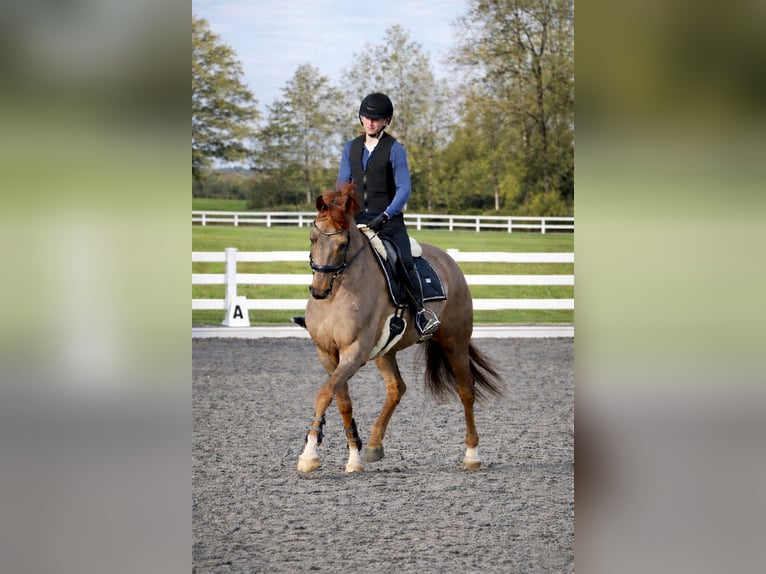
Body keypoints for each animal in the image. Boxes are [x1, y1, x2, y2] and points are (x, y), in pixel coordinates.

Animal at [296, 183, 503, 473]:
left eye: (343, 243)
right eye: (313, 238)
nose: (319, 290)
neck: (338, 292)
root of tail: (449, 261)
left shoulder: (355, 352)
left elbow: (326, 393)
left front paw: (309, 455)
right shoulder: (326, 352)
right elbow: (341, 400)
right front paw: (354, 456)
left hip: (455, 341)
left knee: (466, 391)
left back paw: (472, 455)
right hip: (385, 351)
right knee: (396, 388)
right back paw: (374, 445)